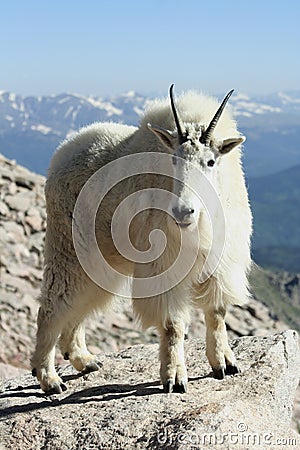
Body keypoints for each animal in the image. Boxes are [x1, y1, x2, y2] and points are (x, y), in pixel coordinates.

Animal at [31, 84, 252, 394]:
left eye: (210, 161)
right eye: (173, 158)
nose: (183, 211)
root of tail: (63, 151)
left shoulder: (221, 263)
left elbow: (217, 313)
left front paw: (225, 364)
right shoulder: (163, 267)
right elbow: (172, 325)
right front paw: (174, 378)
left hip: (101, 260)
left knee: (78, 306)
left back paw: (84, 360)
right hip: (69, 250)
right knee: (52, 305)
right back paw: (49, 378)